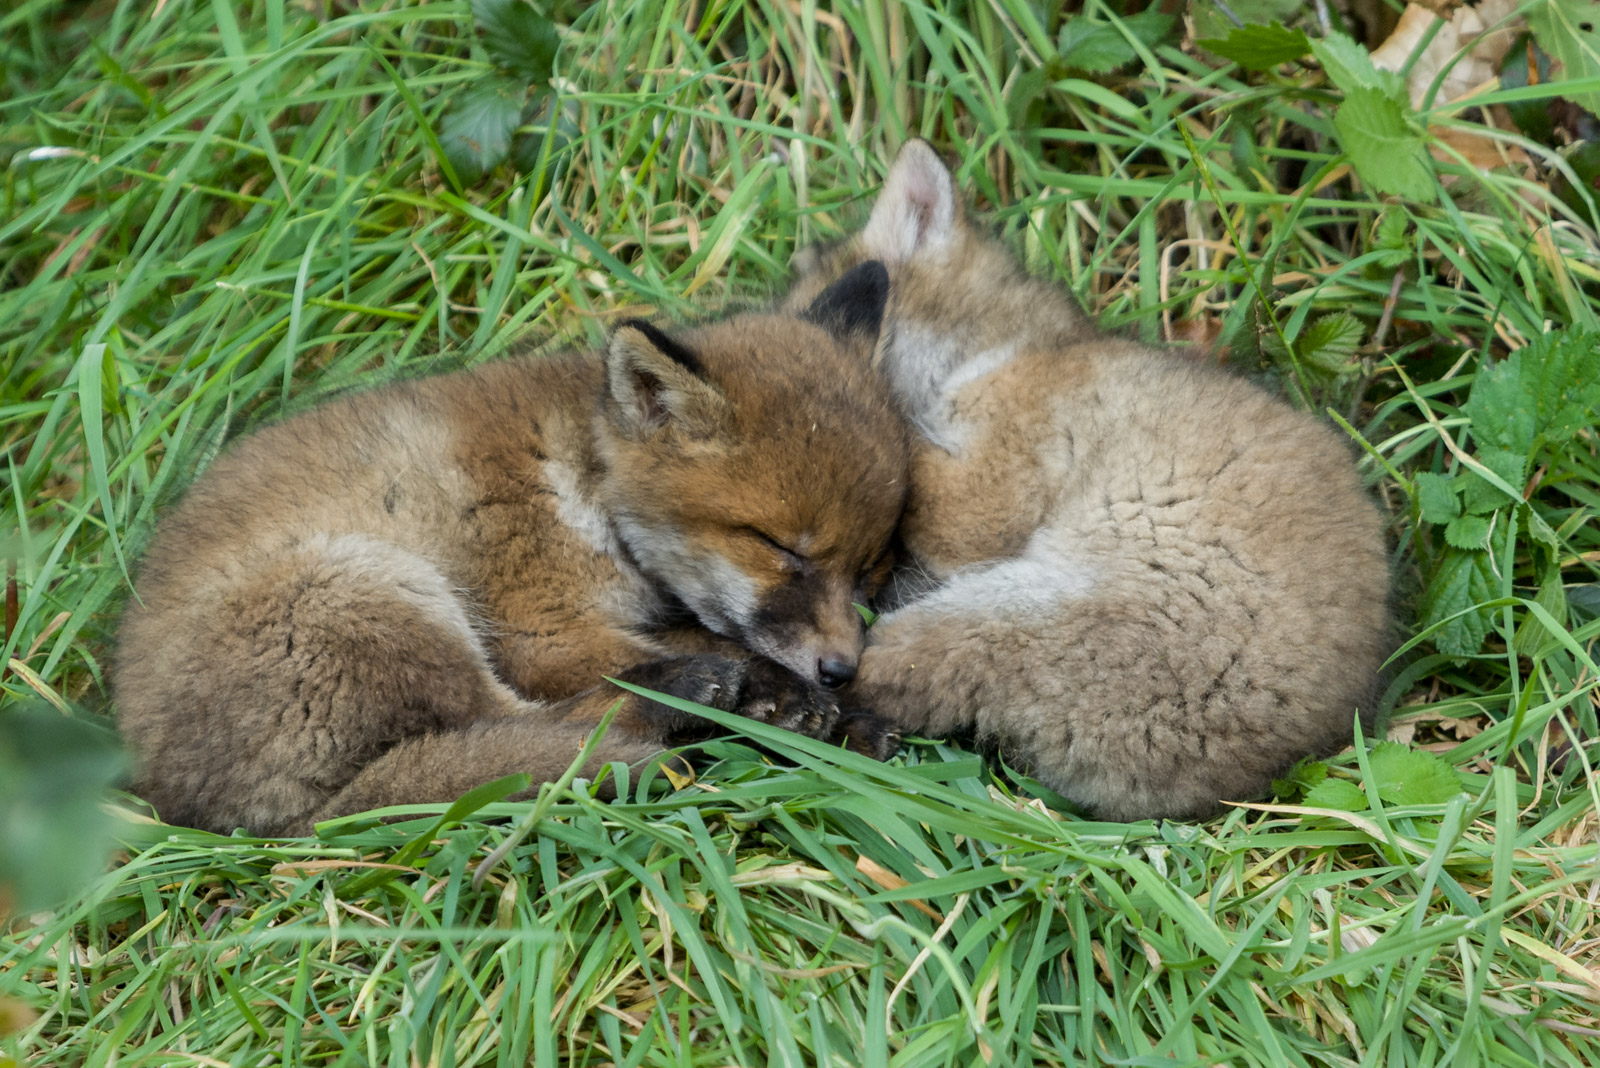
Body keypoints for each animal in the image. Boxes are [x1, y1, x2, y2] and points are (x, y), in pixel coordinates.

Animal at [116, 261, 908, 836]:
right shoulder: (541, 630)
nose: (842, 668)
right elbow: (710, 652)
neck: (583, 476)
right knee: (525, 720)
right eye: (780, 548)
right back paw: (683, 703)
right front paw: (791, 700)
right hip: (374, 589)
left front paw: (828, 714)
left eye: (871, 567)